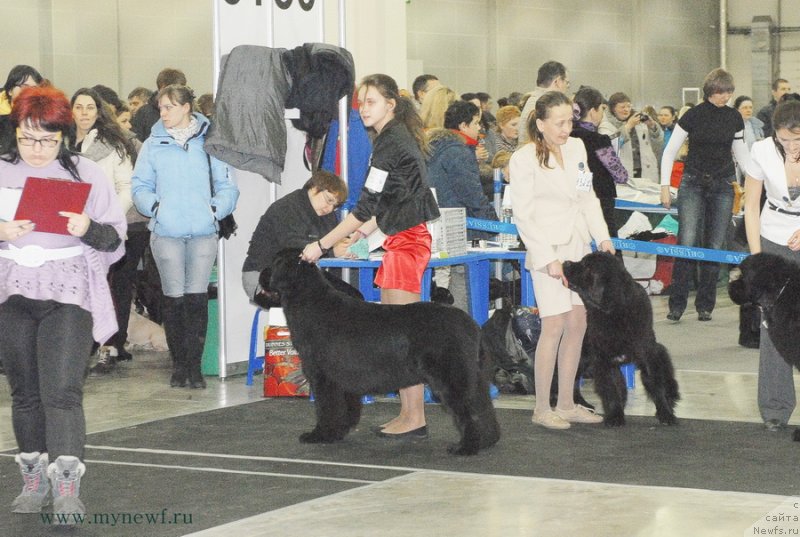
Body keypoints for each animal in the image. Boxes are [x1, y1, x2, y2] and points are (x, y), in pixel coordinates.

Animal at [268, 249, 500, 454]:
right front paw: (338, 433)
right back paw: (488, 441)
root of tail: (473, 326)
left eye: (274, 262)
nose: (263, 275)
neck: (309, 301)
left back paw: (466, 448)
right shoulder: (344, 378)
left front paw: (320, 435)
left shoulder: (323, 377)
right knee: (483, 407)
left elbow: (327, 409)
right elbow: (347, 409)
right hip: (474, 377)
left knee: (469, 411)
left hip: (452, 378)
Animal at [560, 251, 680, 428]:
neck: (614, 311)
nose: (566, 262)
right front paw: (615, 416)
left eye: (587, 266)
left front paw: (666, 414)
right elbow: (612, 390)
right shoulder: (604, 360)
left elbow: (656, 386)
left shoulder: (647, 355)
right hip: (582, 353)